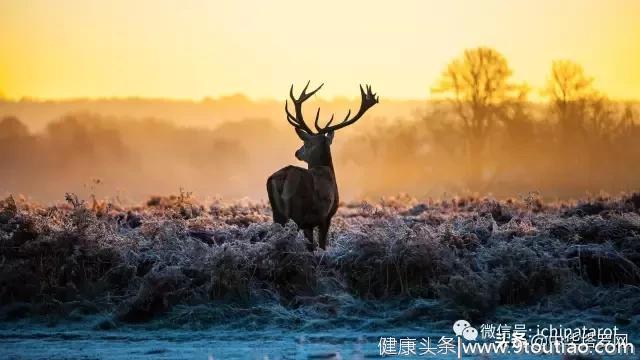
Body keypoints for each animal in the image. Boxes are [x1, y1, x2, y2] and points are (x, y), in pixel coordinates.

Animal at [266, 81, 378, 250]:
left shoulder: (311, 223)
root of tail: (283, 178)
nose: (297, 152)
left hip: (277, 213)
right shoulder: (326, 217)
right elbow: (321, 246)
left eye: (305, 143)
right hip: (297, 212)